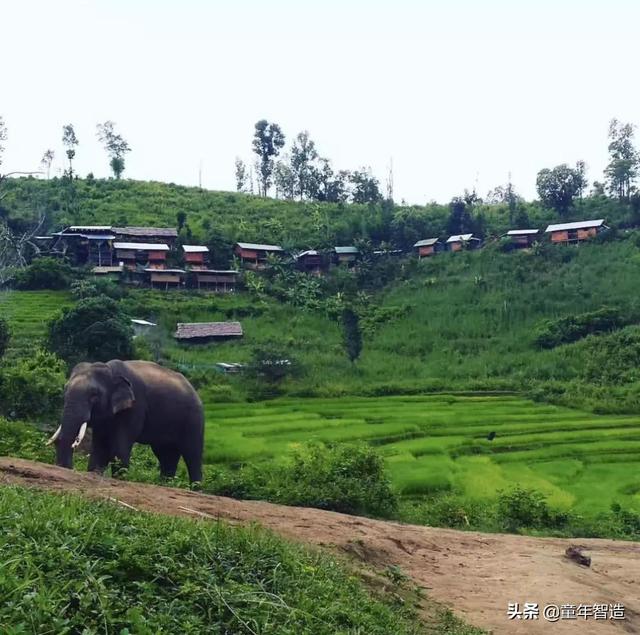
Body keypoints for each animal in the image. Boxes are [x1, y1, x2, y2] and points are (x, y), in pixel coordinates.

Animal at [50, 360, 205, 484]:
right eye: (65, 390)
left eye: (94, 395)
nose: (68, 469)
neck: (110, 370)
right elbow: (100, 446)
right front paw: (94, 473)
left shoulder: (135, 407)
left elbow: (119, 446)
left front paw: (119, 478)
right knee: (166, 455)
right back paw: (165, 484)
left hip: (194, 419)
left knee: (192, 455)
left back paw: (195, 488)